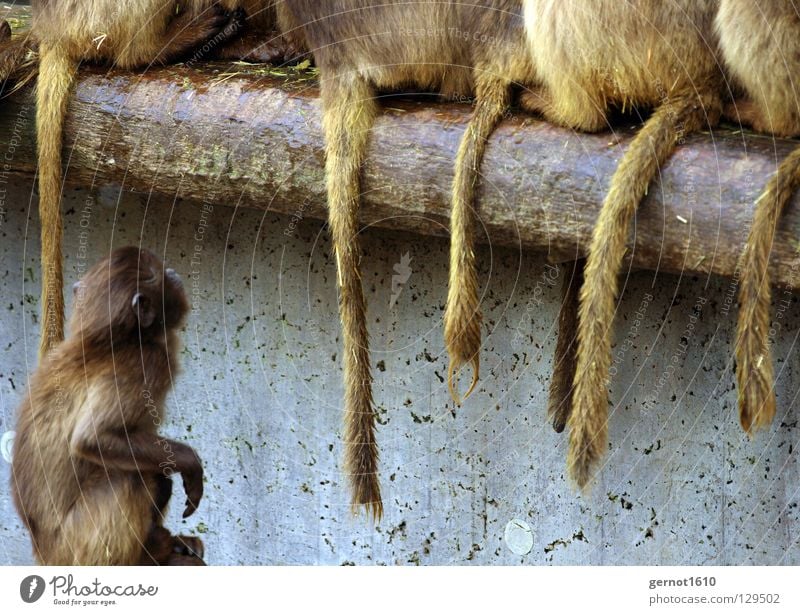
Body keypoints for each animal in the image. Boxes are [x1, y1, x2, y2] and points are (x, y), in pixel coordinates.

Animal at [11, 248, 206, 564]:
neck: (100, 342)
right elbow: (93, 438)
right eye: (161, 271)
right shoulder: (149, 361)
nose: (174, 272)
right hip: (79, 543)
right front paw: (190, 462)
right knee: (131, 474)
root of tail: (45, 553)